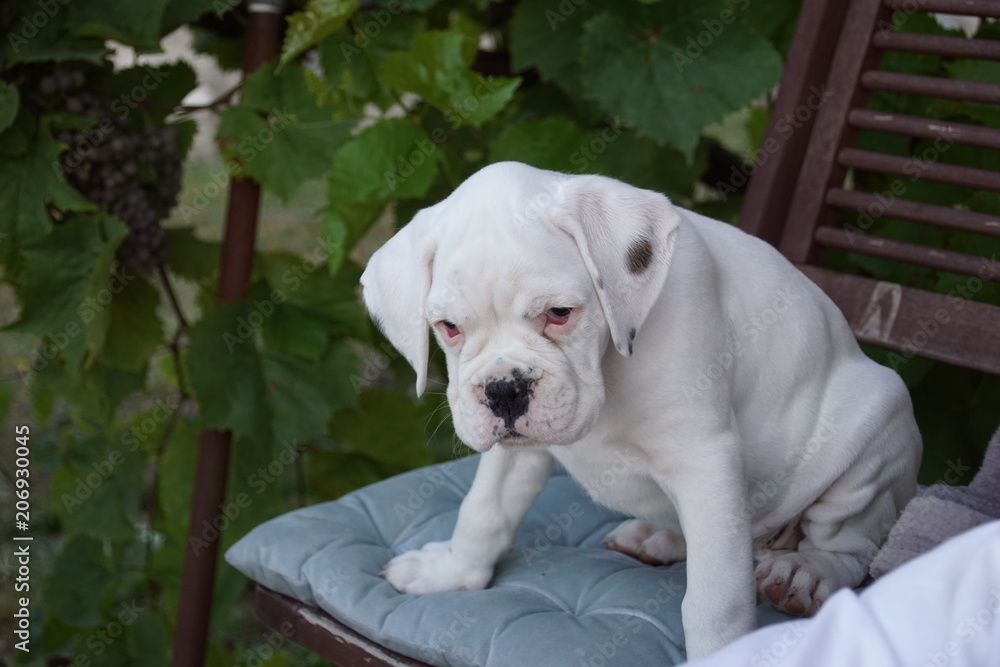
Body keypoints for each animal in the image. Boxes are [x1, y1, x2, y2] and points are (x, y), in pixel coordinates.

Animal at [362, 160, 920, 656]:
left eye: (560, 313)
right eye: (449, 328)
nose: (504, 390)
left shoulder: (704, 459)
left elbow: (715, 600)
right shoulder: (517, 451)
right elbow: (483, 509)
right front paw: (452, 570)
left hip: (874, 433)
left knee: (851, 547)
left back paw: (805, 571)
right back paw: (659, 536)